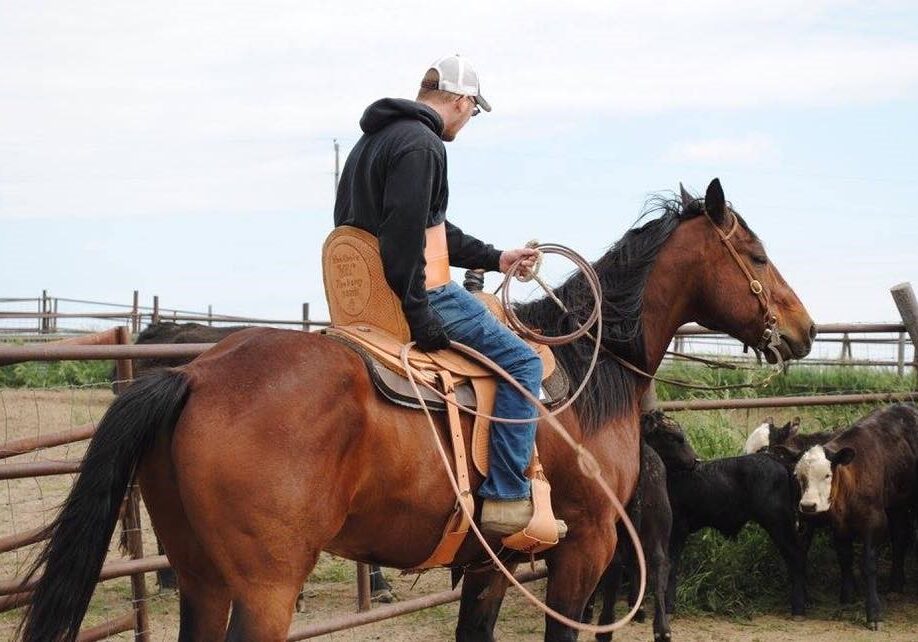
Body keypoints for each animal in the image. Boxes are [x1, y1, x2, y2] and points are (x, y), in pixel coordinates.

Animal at [18, 176, 816, 640]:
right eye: (756, 254)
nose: (804, 330)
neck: (591, 380)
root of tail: (198, 373)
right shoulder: (584, 549)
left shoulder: (494, 565)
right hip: (266, 587)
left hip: (202, 579)